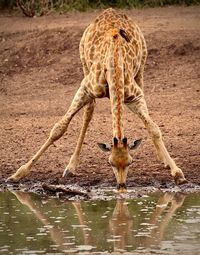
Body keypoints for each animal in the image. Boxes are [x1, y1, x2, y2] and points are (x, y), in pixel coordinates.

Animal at [7, 7, 187, 191]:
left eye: (130, 162)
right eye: (110, 163)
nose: (121, 186)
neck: (114, 64)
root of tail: (110, 10)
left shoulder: (135, 96)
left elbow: (153, 128)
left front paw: (177, 172)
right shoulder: (85, 88)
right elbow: (59, 129)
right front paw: (18, 173)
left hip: (141, 66)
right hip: (84, 65)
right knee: (89, 112)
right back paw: (70, 167)